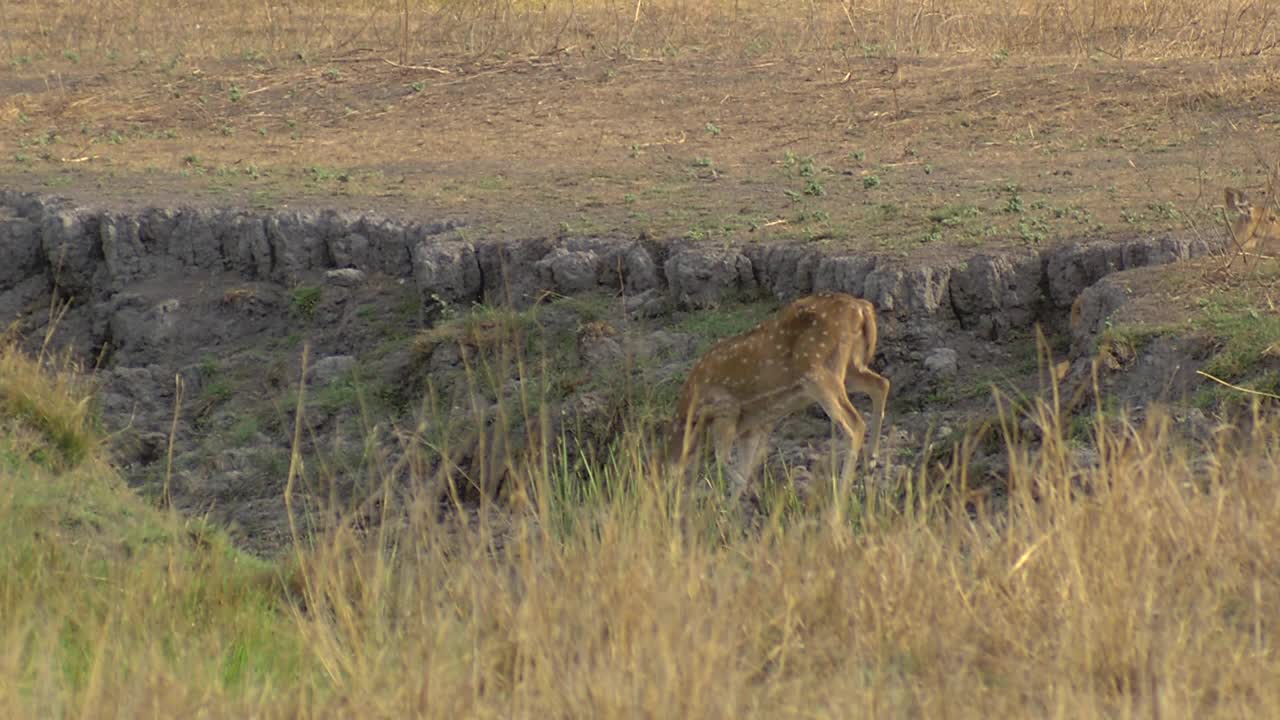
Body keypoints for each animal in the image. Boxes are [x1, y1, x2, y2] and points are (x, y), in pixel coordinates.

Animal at [670, 289, 890, 491]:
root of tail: (862, 308)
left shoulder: (726, 410)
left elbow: (722, 460)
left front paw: (752, 494)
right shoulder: (751, 426)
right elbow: (742, 468)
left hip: (818, 371)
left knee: (855, 423)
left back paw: (841, 492)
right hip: (850, 367)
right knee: (881, 384)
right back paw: (871, 462)